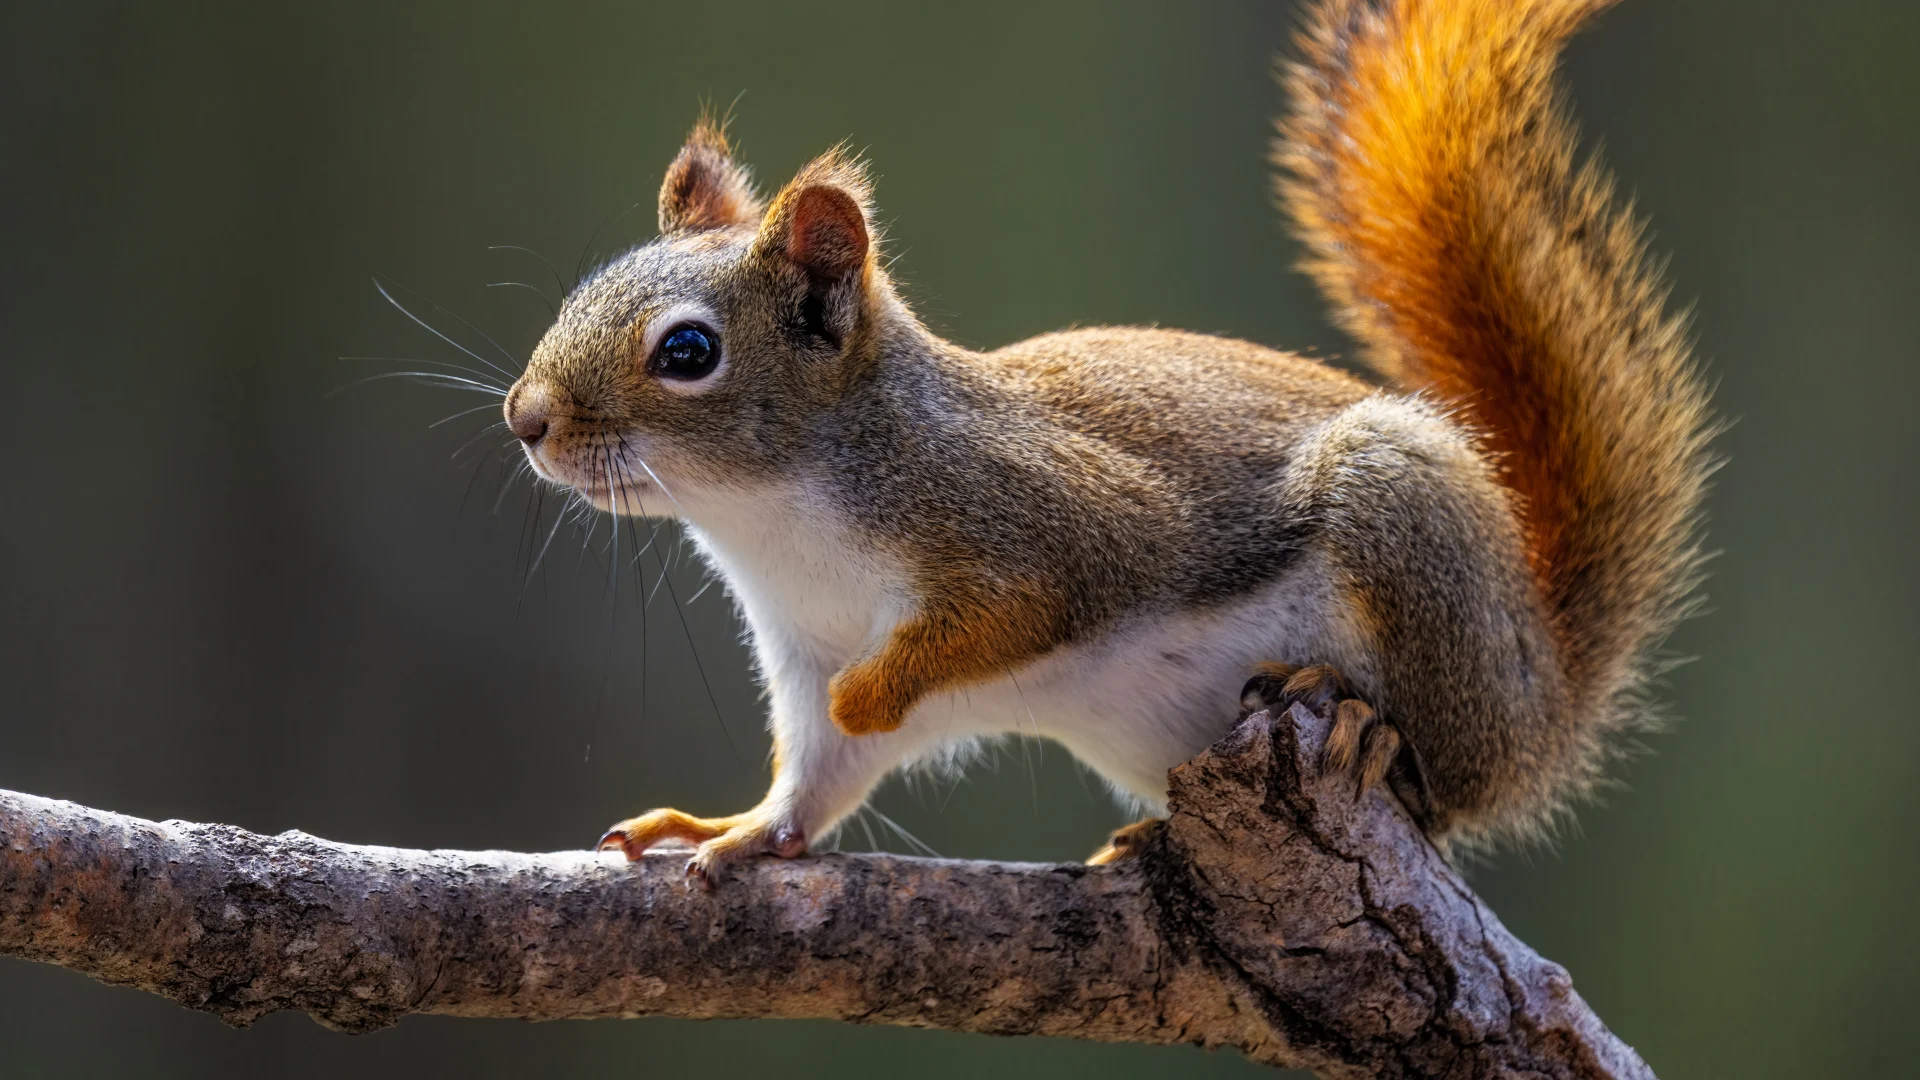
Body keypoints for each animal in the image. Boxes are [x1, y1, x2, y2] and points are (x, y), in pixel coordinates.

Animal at [498, 0, 1713, 886]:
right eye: (588, 286)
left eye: (687, 351)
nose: (527, 418)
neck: (776, 517)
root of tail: (1546, 699)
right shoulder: (803, 648)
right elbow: (818, 779)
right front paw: (739, 830)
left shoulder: (1042, 525)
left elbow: (1003, 619)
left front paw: (875, 694)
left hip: (1402, 523)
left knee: (1444, 780)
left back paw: (1371, 725)